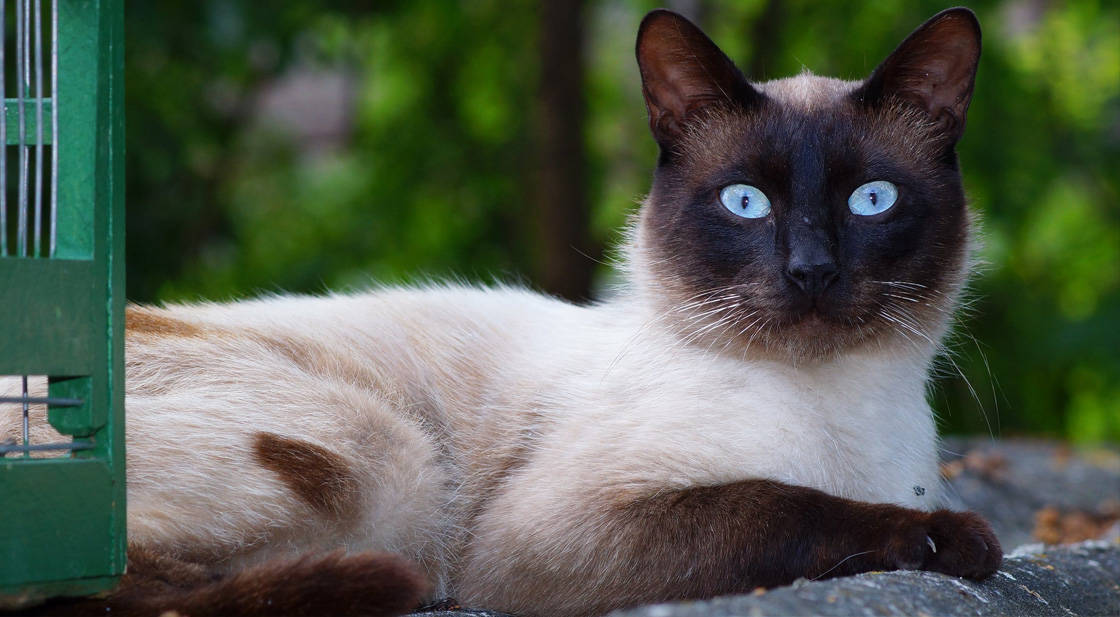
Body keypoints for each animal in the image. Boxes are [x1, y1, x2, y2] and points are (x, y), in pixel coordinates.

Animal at [4, 6, 1003, 617]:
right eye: (745, 203)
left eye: (870, 201)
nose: (810, 270)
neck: (838, 412)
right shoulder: (552, 538)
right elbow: (783, 507)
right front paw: (956, 539)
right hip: (390, 458)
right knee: (98, 588)